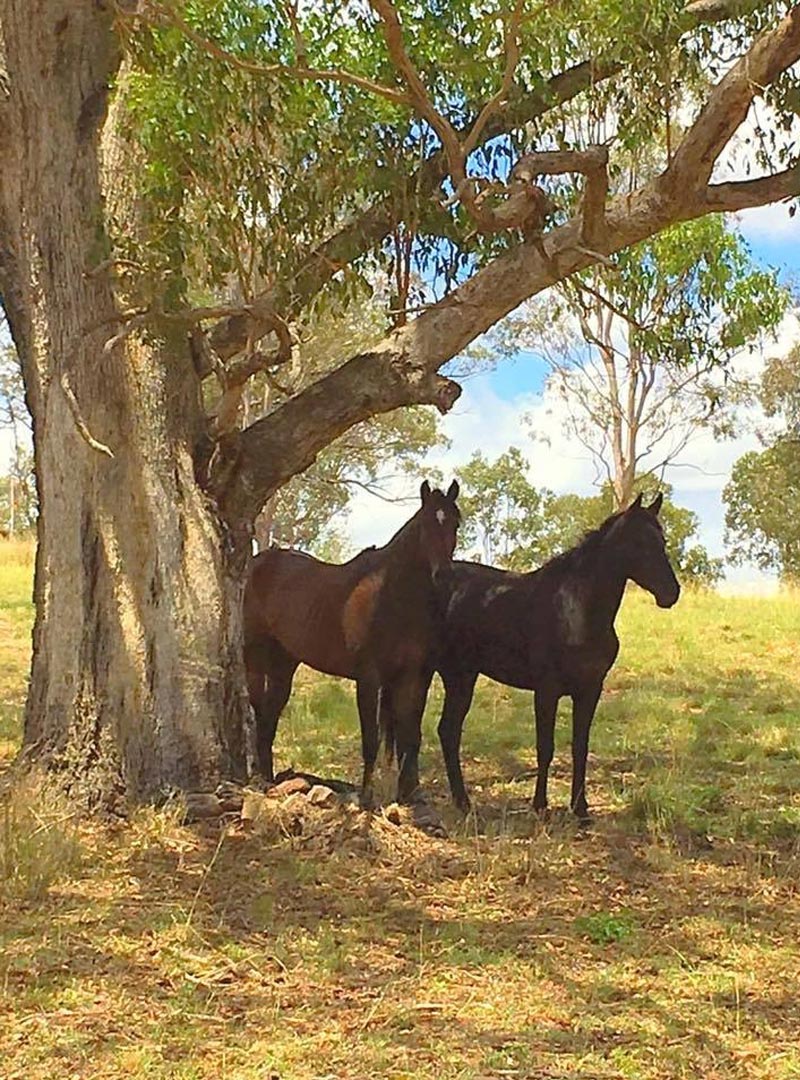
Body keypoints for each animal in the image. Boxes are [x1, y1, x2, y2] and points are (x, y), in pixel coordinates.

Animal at [244, 479, 461, 805]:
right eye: (425, 524)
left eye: (456, 523)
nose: (443, 575)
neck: (391, 594)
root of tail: (259, 564)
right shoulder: (369, 677)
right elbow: (371, 739)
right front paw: (366, 797)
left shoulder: (410, 675)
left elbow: (410, 736)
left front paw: (409, 795)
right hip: (256, 658)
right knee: (260, 712)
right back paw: (262, 780)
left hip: (284, 663)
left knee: (269, 717)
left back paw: (269, 779)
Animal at [434, 493, 680, 821]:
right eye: (638, 542)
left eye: (661, 540)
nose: (671, 593)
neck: (577, 611)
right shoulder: (546, 690)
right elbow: (545, 747)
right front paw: (540, 805)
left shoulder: (590, 690)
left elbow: (579, 747)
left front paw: (580, 808)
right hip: (453, 675)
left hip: (462, 677)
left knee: (448, 731)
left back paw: (461, 801)